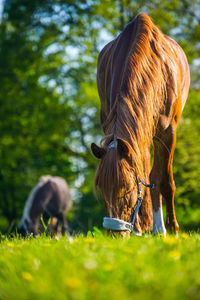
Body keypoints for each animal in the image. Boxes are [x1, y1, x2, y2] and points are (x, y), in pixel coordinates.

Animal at [91, 13, 190, 237]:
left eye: (127, 189)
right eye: (101, 190)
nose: (114, 235)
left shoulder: (167, 132)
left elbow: (164, 180)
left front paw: (168, 228)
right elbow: (143, 176)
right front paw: (140, 226)